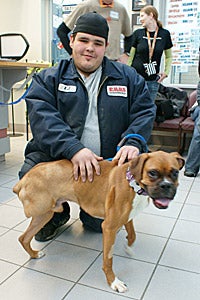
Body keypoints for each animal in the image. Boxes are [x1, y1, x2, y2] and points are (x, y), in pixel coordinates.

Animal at [12, 151, 184, 292]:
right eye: (152, 173)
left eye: (175, 173)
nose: (166, 186)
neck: (132, 183)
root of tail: (24, 179)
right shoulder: (109, 227)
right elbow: (108, 259)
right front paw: (113, 282)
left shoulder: (127, 217)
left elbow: (133, 235)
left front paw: (128, 248)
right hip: (43, 211)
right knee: (26, 231)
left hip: (44, 215)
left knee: (23, 238)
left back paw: (34, 254)